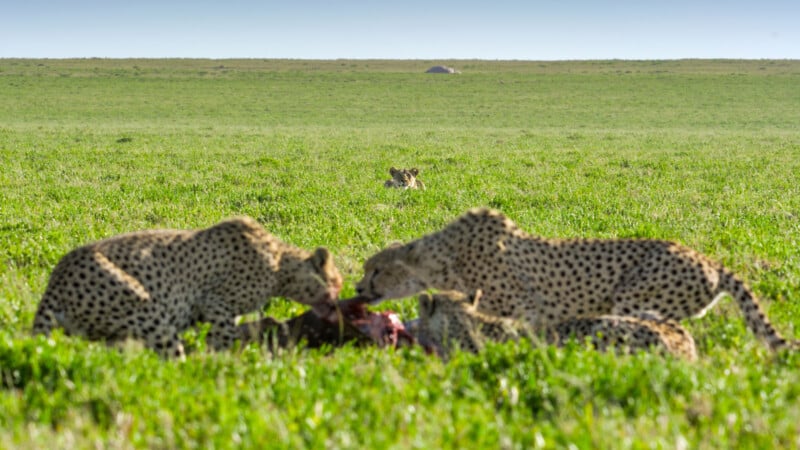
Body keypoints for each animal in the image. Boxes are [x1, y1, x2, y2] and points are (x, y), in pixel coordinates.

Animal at [32, 217, 343, 358]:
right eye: (336, 282)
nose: (340, 299)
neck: (281, 264)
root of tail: (57, 277)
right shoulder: (214, 302)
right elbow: (224, 338)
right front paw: (224, 363)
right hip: (145, 309)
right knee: (173, 360)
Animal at [357, 207, 797, 351]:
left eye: (375, 269)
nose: (359, 288)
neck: (442, 257)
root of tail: (709, 261)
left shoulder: (525, 311)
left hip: (634, 301)